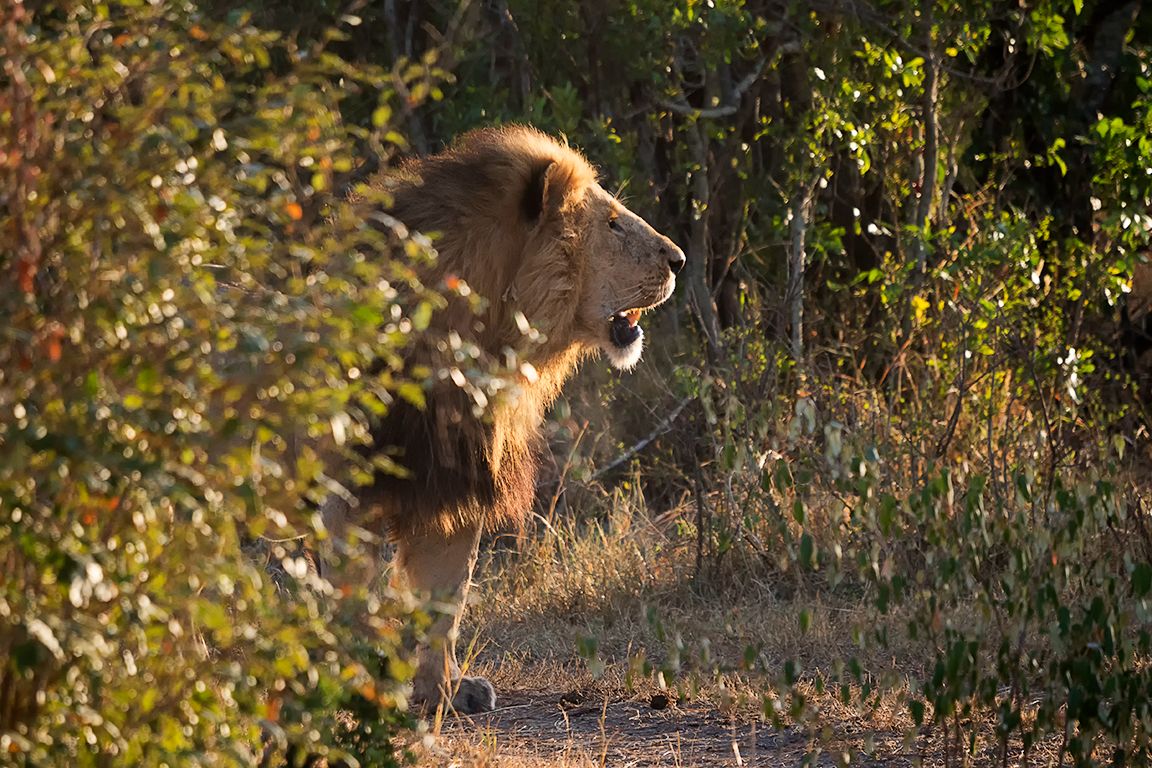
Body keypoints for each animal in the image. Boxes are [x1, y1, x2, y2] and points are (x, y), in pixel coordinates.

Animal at [320, 125, 685, 714]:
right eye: (610, 223)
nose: (679, 260)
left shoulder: (455, 483)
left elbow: (447, 597)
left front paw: (445, 691)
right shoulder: (352, 494)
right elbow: (355, 597)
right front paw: (357, 685)